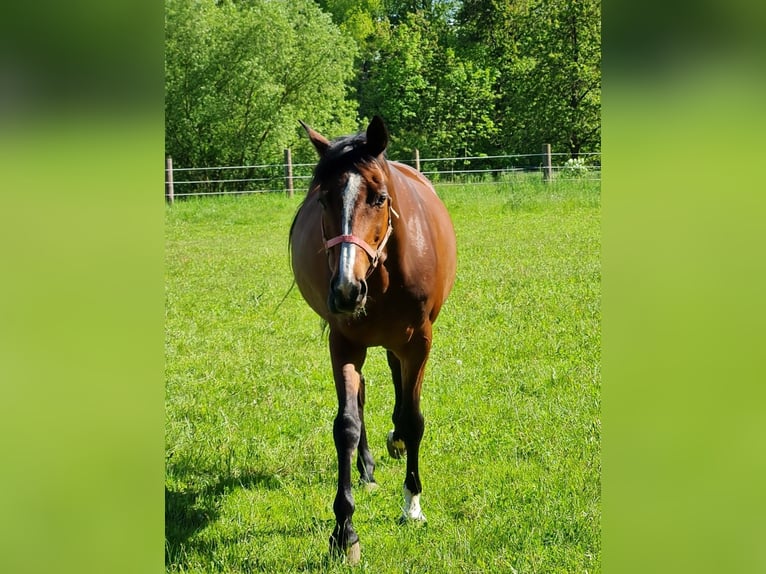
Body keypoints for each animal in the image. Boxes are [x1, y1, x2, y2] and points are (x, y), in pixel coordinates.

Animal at [288, 115, 456, 564]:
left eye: (379, 198)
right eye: (323, 200)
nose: (346, 289)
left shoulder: (419, 342)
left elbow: (413, 419)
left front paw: (412, 504)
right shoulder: (344, 343)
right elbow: (345, 424)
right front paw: (344, 532)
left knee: (398, 382)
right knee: (362, 396)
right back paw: (366, 469)